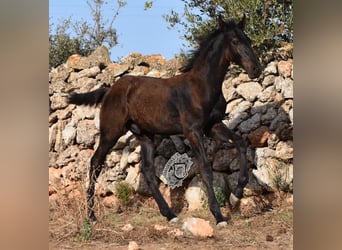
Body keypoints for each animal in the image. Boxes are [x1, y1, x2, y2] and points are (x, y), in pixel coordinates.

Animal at [69, 15, 262, 227]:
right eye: (234, 41)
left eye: (247, 39)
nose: (256, 69)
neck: (201, 86)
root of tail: (109, 90)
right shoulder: (192, 130)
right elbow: (205, 167)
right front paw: (218, 216)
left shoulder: (212, 126)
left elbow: (241, 142)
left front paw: (236, 196)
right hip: (110, 132)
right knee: (95, 163)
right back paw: (91, 215)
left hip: (145, 136)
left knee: (147, 171)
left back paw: (169, 214)